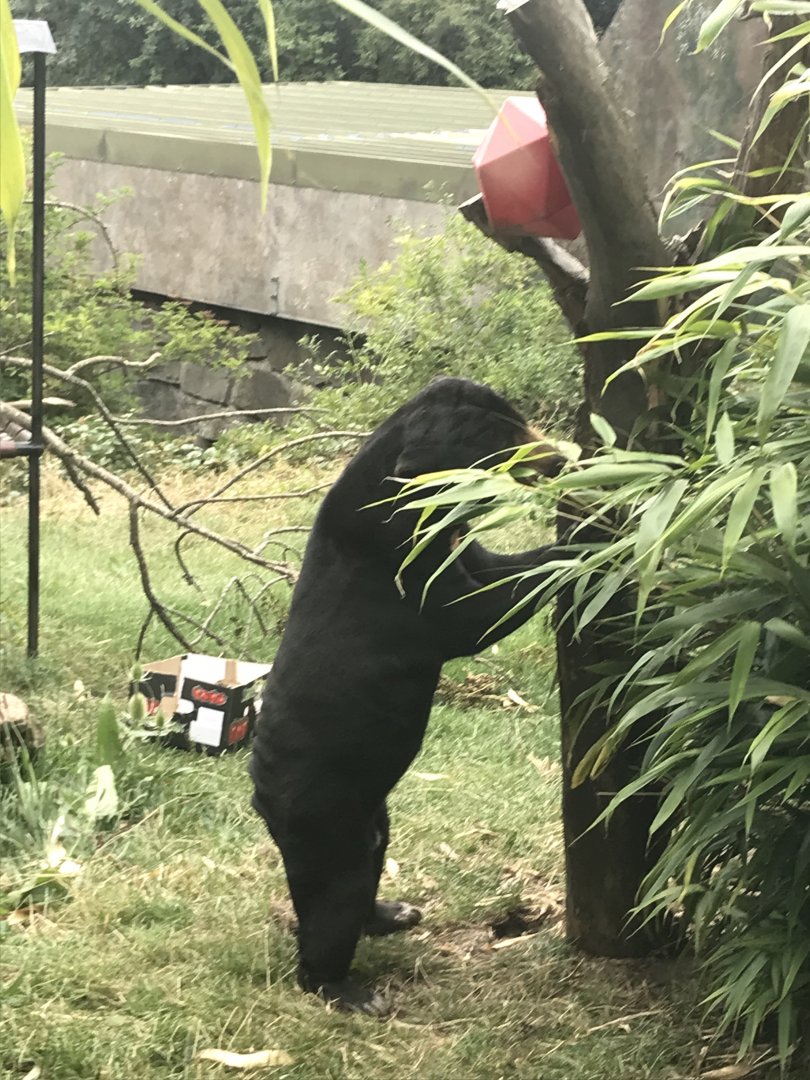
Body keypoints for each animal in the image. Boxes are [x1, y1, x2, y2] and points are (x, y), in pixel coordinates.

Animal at [250, 377, 564, 1015]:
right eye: (504, 435)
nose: (563, 459)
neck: (408, 498)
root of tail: (260, 796)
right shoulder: (414, 581)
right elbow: (487, 608)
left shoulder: (460, 547)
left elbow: (497, 563)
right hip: (327, 827)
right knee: (330, 911)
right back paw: (346, 991)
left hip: (374, 817)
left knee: (368, 875)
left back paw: (392, 913)